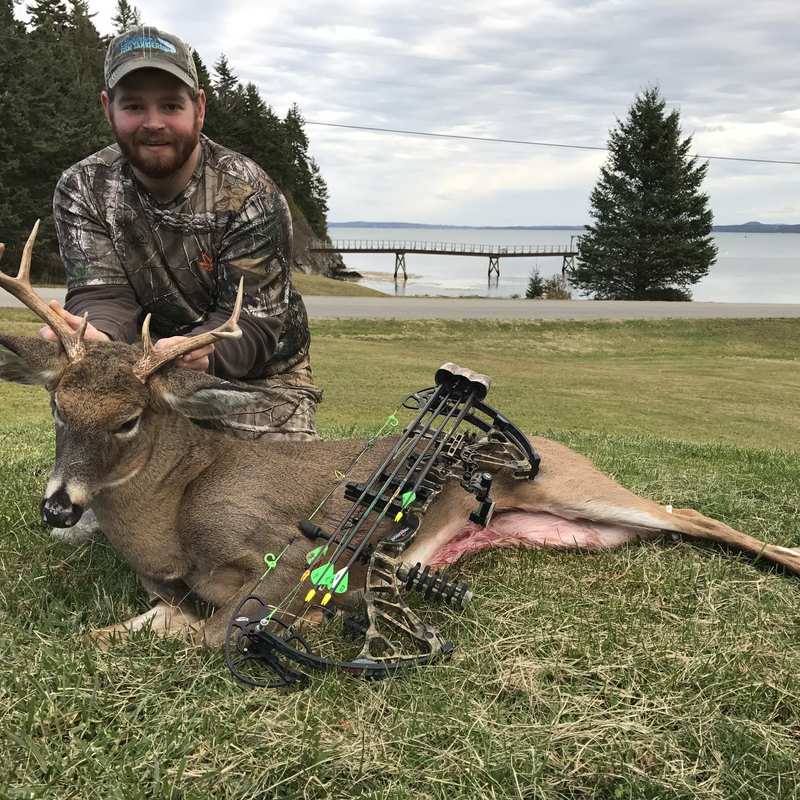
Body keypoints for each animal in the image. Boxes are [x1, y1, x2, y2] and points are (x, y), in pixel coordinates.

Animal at [2, 222, 800, 652]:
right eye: (57, 409)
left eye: (129, 417)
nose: (58, 506)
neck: (166, 519)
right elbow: (140, 621)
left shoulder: (281, 548)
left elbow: (206, 629)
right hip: (568, 528)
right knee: (667, 523)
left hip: (577, 483)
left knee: (691, 512)